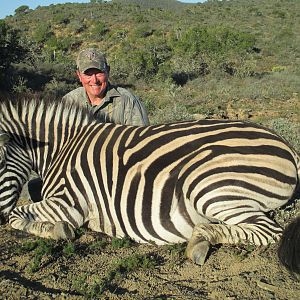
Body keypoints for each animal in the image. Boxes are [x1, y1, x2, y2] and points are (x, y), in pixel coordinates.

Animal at [0, 98, 298, 272]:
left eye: (1, 160)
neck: (63, 148)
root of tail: (286, 145)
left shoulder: (69, 203)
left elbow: (17, 215)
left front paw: (57, 229)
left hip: (208, 185)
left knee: (268, 231)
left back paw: (199, 242)